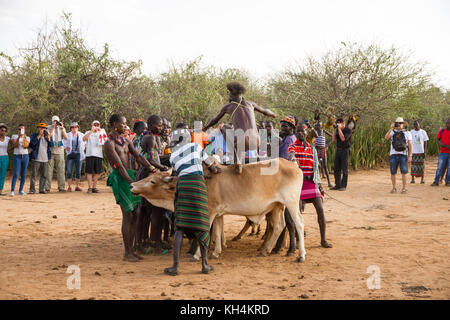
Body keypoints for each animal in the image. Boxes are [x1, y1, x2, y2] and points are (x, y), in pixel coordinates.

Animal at [130, 158, 306, 262]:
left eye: (152, 181)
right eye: (149, 177)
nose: (132, 185)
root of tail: (294, 165)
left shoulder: (209, 211)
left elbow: (206, 232)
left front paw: (197, 255)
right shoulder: (219, 213)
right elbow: (217, 231)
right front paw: (216, 252)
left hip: (291, 203)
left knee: (298, 224)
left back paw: (301, 255)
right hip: (277, 206)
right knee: (278, 226)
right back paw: (265, 250)